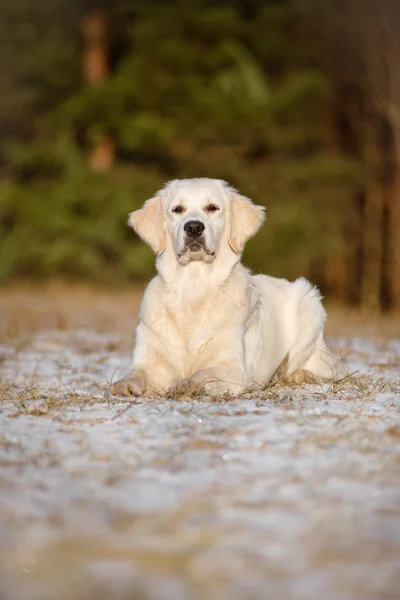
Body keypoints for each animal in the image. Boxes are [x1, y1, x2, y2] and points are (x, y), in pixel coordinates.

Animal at [109, 176, 334, 396]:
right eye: (177, 209)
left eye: (212, 207)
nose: (193, 227)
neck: (194, 288)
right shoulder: (152, 361)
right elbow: (137, 373)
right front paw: (123, 385)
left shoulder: (233, 368)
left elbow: (204, 373)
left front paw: (187, 384)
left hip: (309, 303)